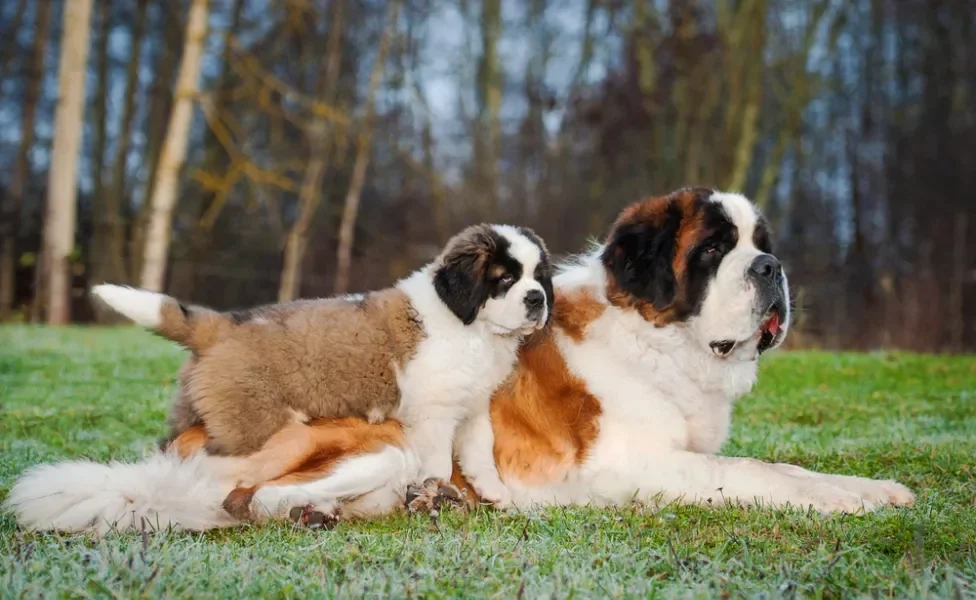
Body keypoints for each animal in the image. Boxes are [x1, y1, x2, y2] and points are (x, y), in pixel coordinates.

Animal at [7, 190, 916, 532]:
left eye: (764, 241)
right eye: (717, 249)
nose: (773, 269)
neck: (655, 334)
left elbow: (789, 468)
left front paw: (874, 489)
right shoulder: (629, 466)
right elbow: (756, 475)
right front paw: (848, 501)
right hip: (369, 442)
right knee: (246, 500)